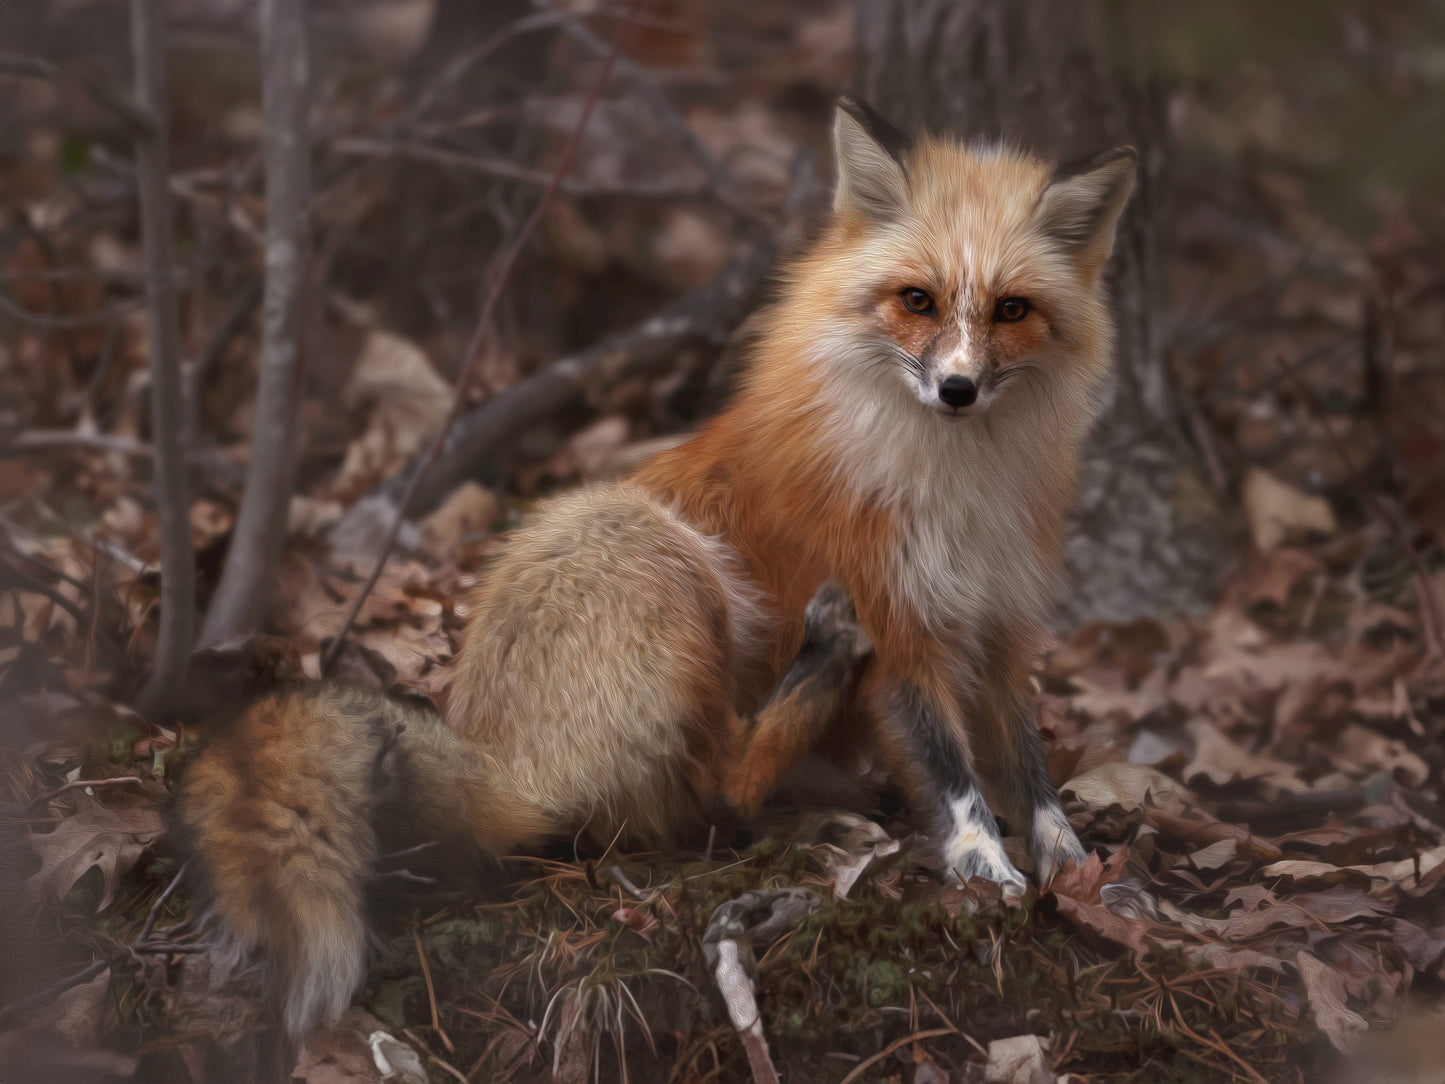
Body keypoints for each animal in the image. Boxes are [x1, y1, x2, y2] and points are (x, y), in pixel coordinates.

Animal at [176, 97, 1136, 1044]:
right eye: (917, 300)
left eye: (1010, 309)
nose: (957, 389)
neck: (959, 489)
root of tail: (499, 755)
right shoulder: (902, 628)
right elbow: (954, 775)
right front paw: (986, 869)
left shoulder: (999, 626)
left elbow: (1027, 768)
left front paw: (1071, 866)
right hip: (655, 553)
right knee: (715, 785)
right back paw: (818, 700)